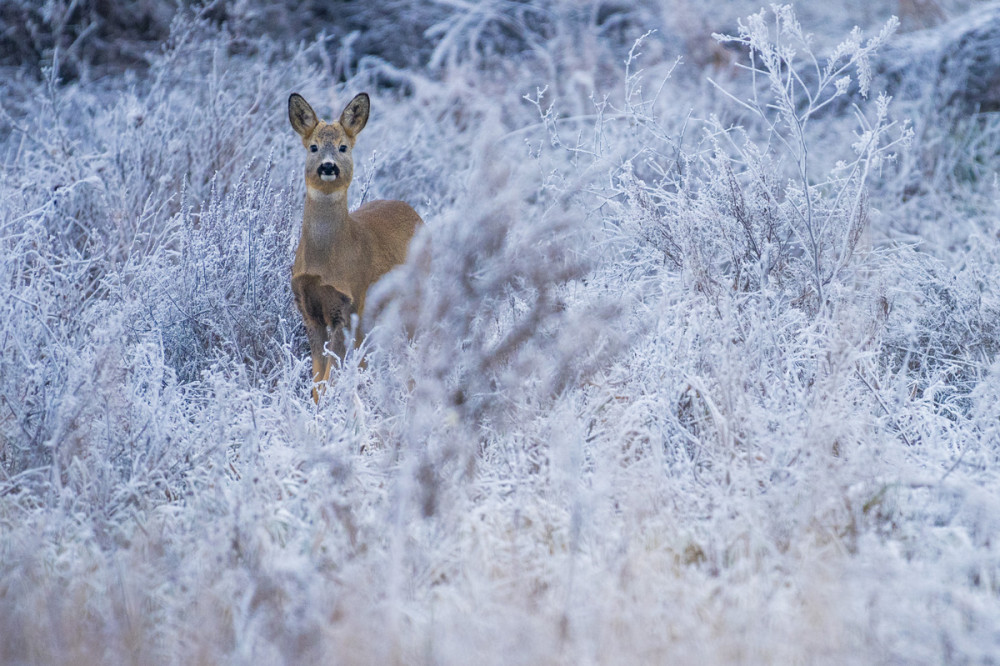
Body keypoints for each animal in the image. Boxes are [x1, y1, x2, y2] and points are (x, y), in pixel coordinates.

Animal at [288, 92, 420, 400]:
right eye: (313, 147)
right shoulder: (309, 311)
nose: (328, 166)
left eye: (343, 147)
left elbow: (330, 377)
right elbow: (317, 379)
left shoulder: (348, 307)